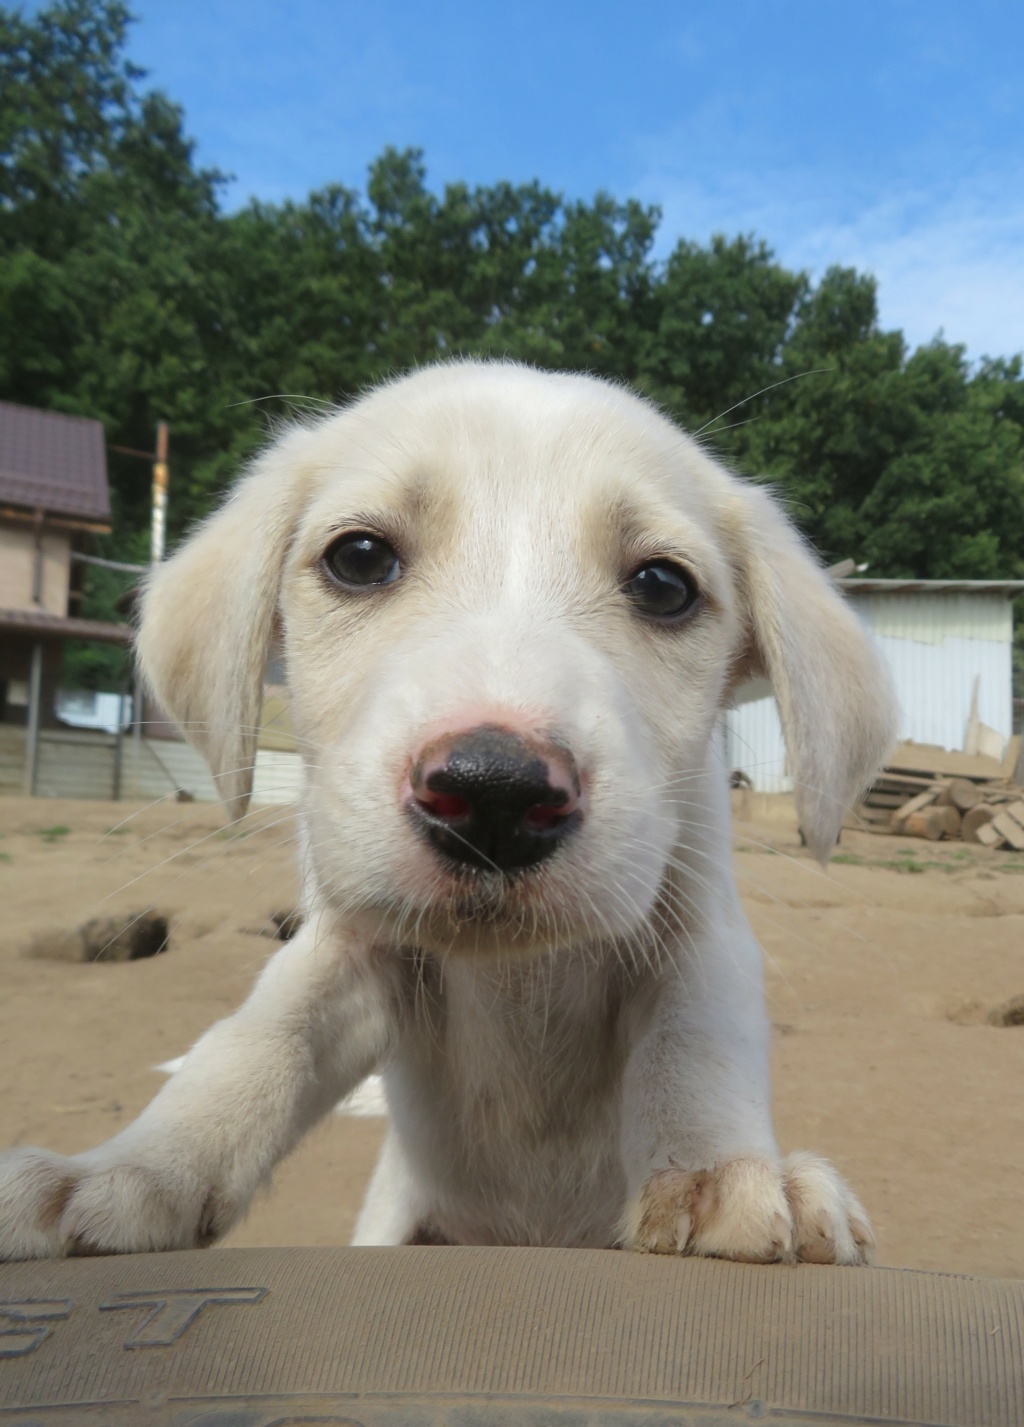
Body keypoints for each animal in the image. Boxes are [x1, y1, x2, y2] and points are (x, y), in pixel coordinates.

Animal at [0, 362, 901, 1267]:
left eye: (663, 585)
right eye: (360, 556)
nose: (494, 792)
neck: (512, 970)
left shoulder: (697, 928)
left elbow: (695, 1041)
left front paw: (723, 1175)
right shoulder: (349, 950)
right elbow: (257, 1040)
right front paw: (133, 1172)